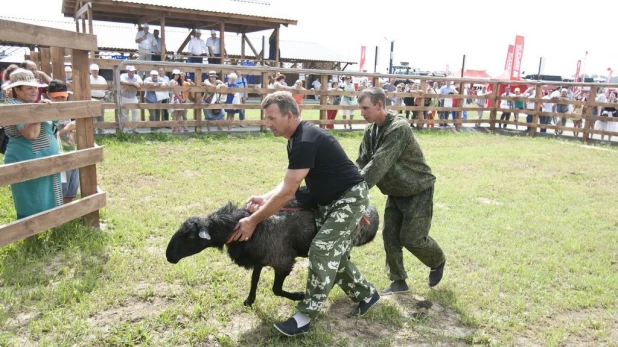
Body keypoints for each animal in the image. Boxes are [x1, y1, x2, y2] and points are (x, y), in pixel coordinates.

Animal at [166, 200, 378, 306]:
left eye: (190, 237)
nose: (169, 256)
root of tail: (369, 212)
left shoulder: (282, 261)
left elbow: (276, 289)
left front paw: (299, 296)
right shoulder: (259, 260)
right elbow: (254, 281)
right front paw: (249, 300)